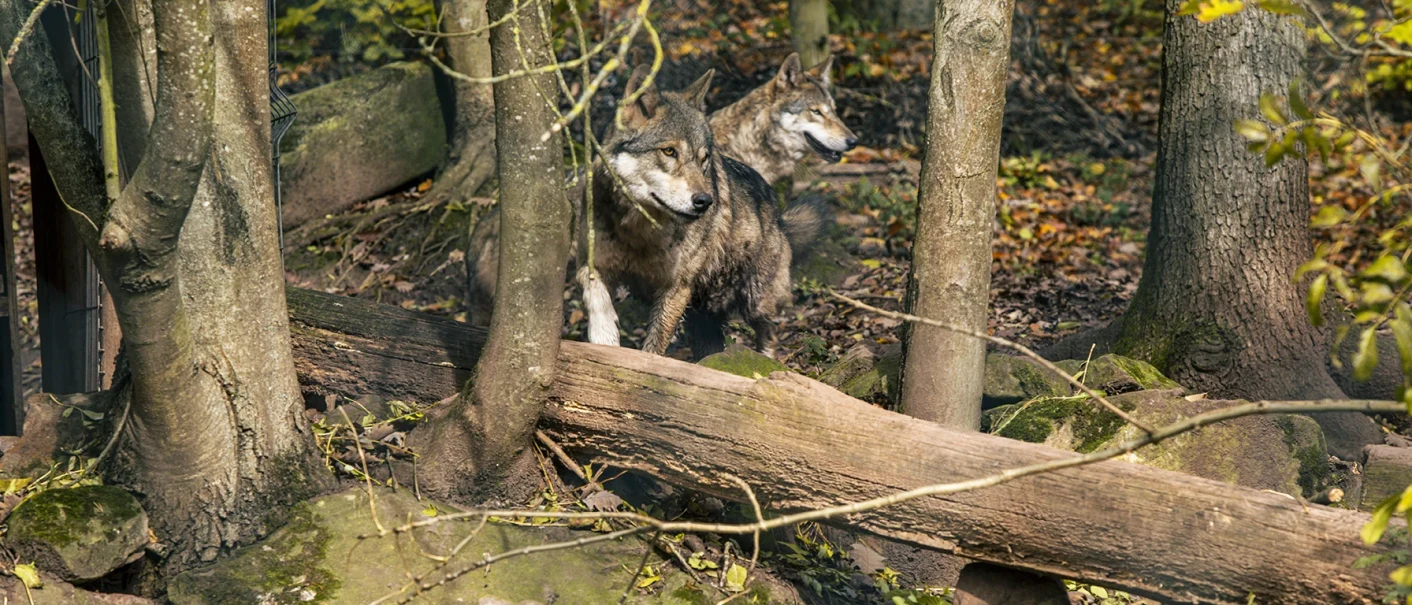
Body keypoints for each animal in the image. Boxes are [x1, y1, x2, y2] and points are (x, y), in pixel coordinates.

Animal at [468, 65, 824, 357]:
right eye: (669, 151)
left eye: (704, 158)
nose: (705, 201)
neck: (640, 230)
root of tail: (777, 213)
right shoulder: (592, 262)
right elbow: (595, 295)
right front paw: (605, 337)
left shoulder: (675, 289)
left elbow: (654, 347)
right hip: (703, 317)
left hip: (754, 300)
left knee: (768, 333)